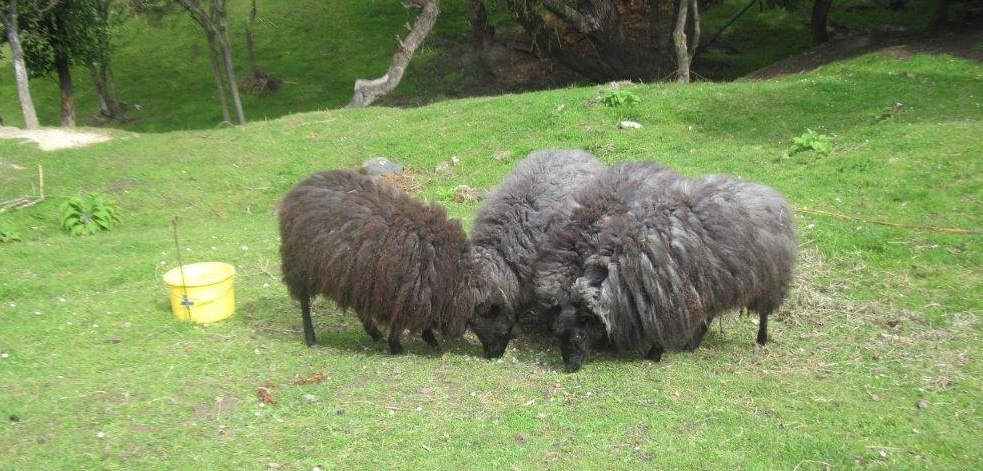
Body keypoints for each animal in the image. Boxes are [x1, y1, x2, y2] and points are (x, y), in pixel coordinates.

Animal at [276, 170, 480, 354]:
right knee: (304, 301)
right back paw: (311, 339)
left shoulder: (414, 288)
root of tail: (301, 187)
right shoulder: (402, 287)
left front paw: (428, 338)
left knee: (358, 303)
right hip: (301, 265)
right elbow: (399, 318)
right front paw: (398, 346)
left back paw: (374, 333)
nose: (489, 355)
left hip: (356, 273)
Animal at [536, 166, 796, 372]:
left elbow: (661, 326)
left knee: (764, 313)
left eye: (578, 335)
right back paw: (692, 345)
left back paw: (761, 339)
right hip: (715, 282)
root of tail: (768, 193)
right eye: (557, 333)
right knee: (709, 314)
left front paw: (654, 353)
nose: (569, 368)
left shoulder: (665, 296)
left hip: (769, 278)